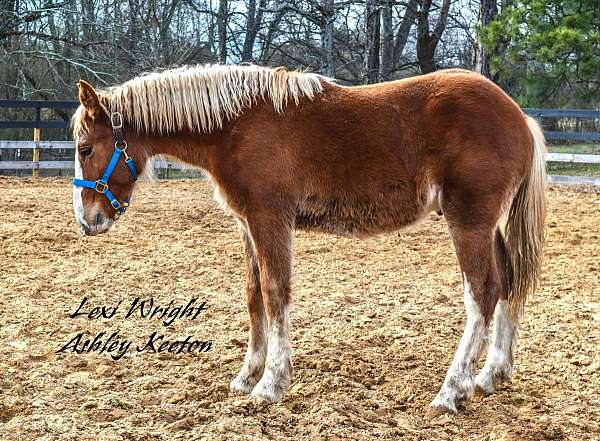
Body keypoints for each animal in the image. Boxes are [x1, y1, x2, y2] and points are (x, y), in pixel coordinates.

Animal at [70, 62, 544, 416]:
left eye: (85, 148)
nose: (88, 220)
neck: (235, 127)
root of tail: (520, 117)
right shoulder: (248, 225)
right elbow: (254, 295)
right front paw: (247, 375)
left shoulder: (270, 220)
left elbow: (275, 292)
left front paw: (271, 384)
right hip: (488, 225)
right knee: (508, 283)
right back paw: (491, 375)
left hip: (469, 221)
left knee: (483, 292)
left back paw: (452, 391)